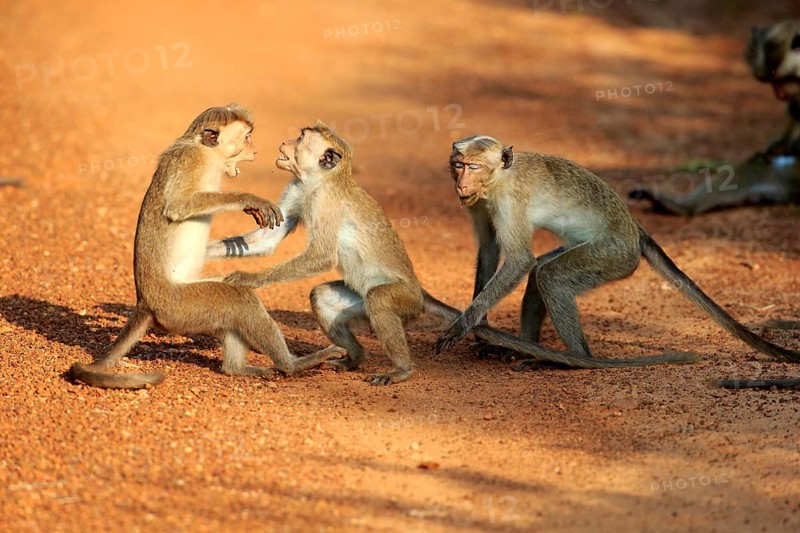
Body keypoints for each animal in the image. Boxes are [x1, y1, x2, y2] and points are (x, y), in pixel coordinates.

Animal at [69, 105, 341, 390]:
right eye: (247, 138)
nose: (255, 150)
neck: (206, 152)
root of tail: (145, 303)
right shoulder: (190, 162)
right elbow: (177, 206)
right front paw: (248, 200)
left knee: (237, 295)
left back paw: (237, 369)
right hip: (179, 307)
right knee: (238, 299)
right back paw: (294, 365)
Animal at [210, 125, 696, 377]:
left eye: (301, 138)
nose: (283, 145)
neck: (319, 181)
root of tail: (419, 293)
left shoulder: (324, 201)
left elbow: (321, 255)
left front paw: (247, 279)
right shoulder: (298, 189)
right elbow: (269, 241)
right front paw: (212, 249)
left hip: (403, 301)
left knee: (381, 302)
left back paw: (401, 370)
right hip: (361, 301)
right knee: (328, 297)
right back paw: (354, 357)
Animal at [433, 135, 800, 370]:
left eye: (474, 167)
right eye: (458, 165)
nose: (461, 184)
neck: (498, 181)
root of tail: (635, 229)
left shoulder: (509, 201)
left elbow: (520, 259)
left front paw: (463, 323)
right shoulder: (479, 203)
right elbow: (490, 248)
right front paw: (480, 325)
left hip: (613, 255)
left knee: (550, 275)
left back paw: (573, 362)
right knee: (542, 273)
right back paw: (532, 350)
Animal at [630, 19, 800, 215]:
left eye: (783, 79)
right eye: (774, 82)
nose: (779, 93)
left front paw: (789, 145)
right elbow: (792, 112)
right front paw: (778, 144)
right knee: (755, 167)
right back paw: (681, 206)